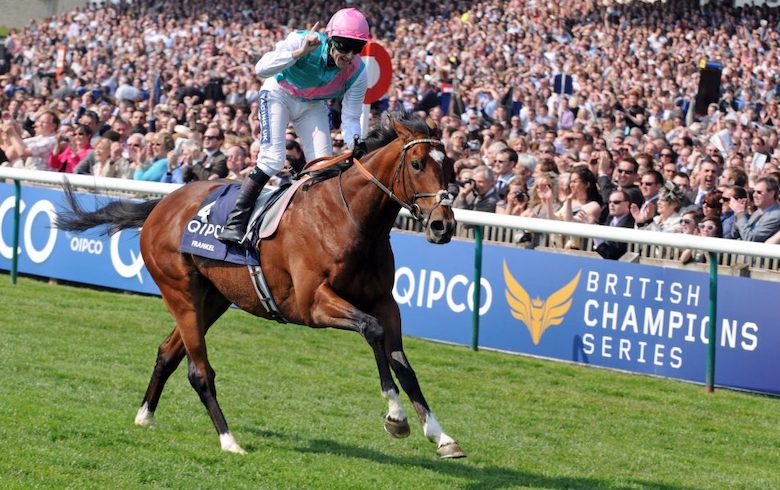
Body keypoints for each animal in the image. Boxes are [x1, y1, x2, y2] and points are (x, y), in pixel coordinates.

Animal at [61, 115, 466, 460]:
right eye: (417, 165)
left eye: (449, 167)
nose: (442, 226)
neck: (349, 219)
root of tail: (163, 204)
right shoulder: (313, 305)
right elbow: (373, 330)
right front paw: (395, 416)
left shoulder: (384, 302)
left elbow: (403, 364)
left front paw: (442, 436)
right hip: (180, 292)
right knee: (199, 371)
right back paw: (229, 441)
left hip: (213, 299)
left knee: (167, 352)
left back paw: (145, 415)